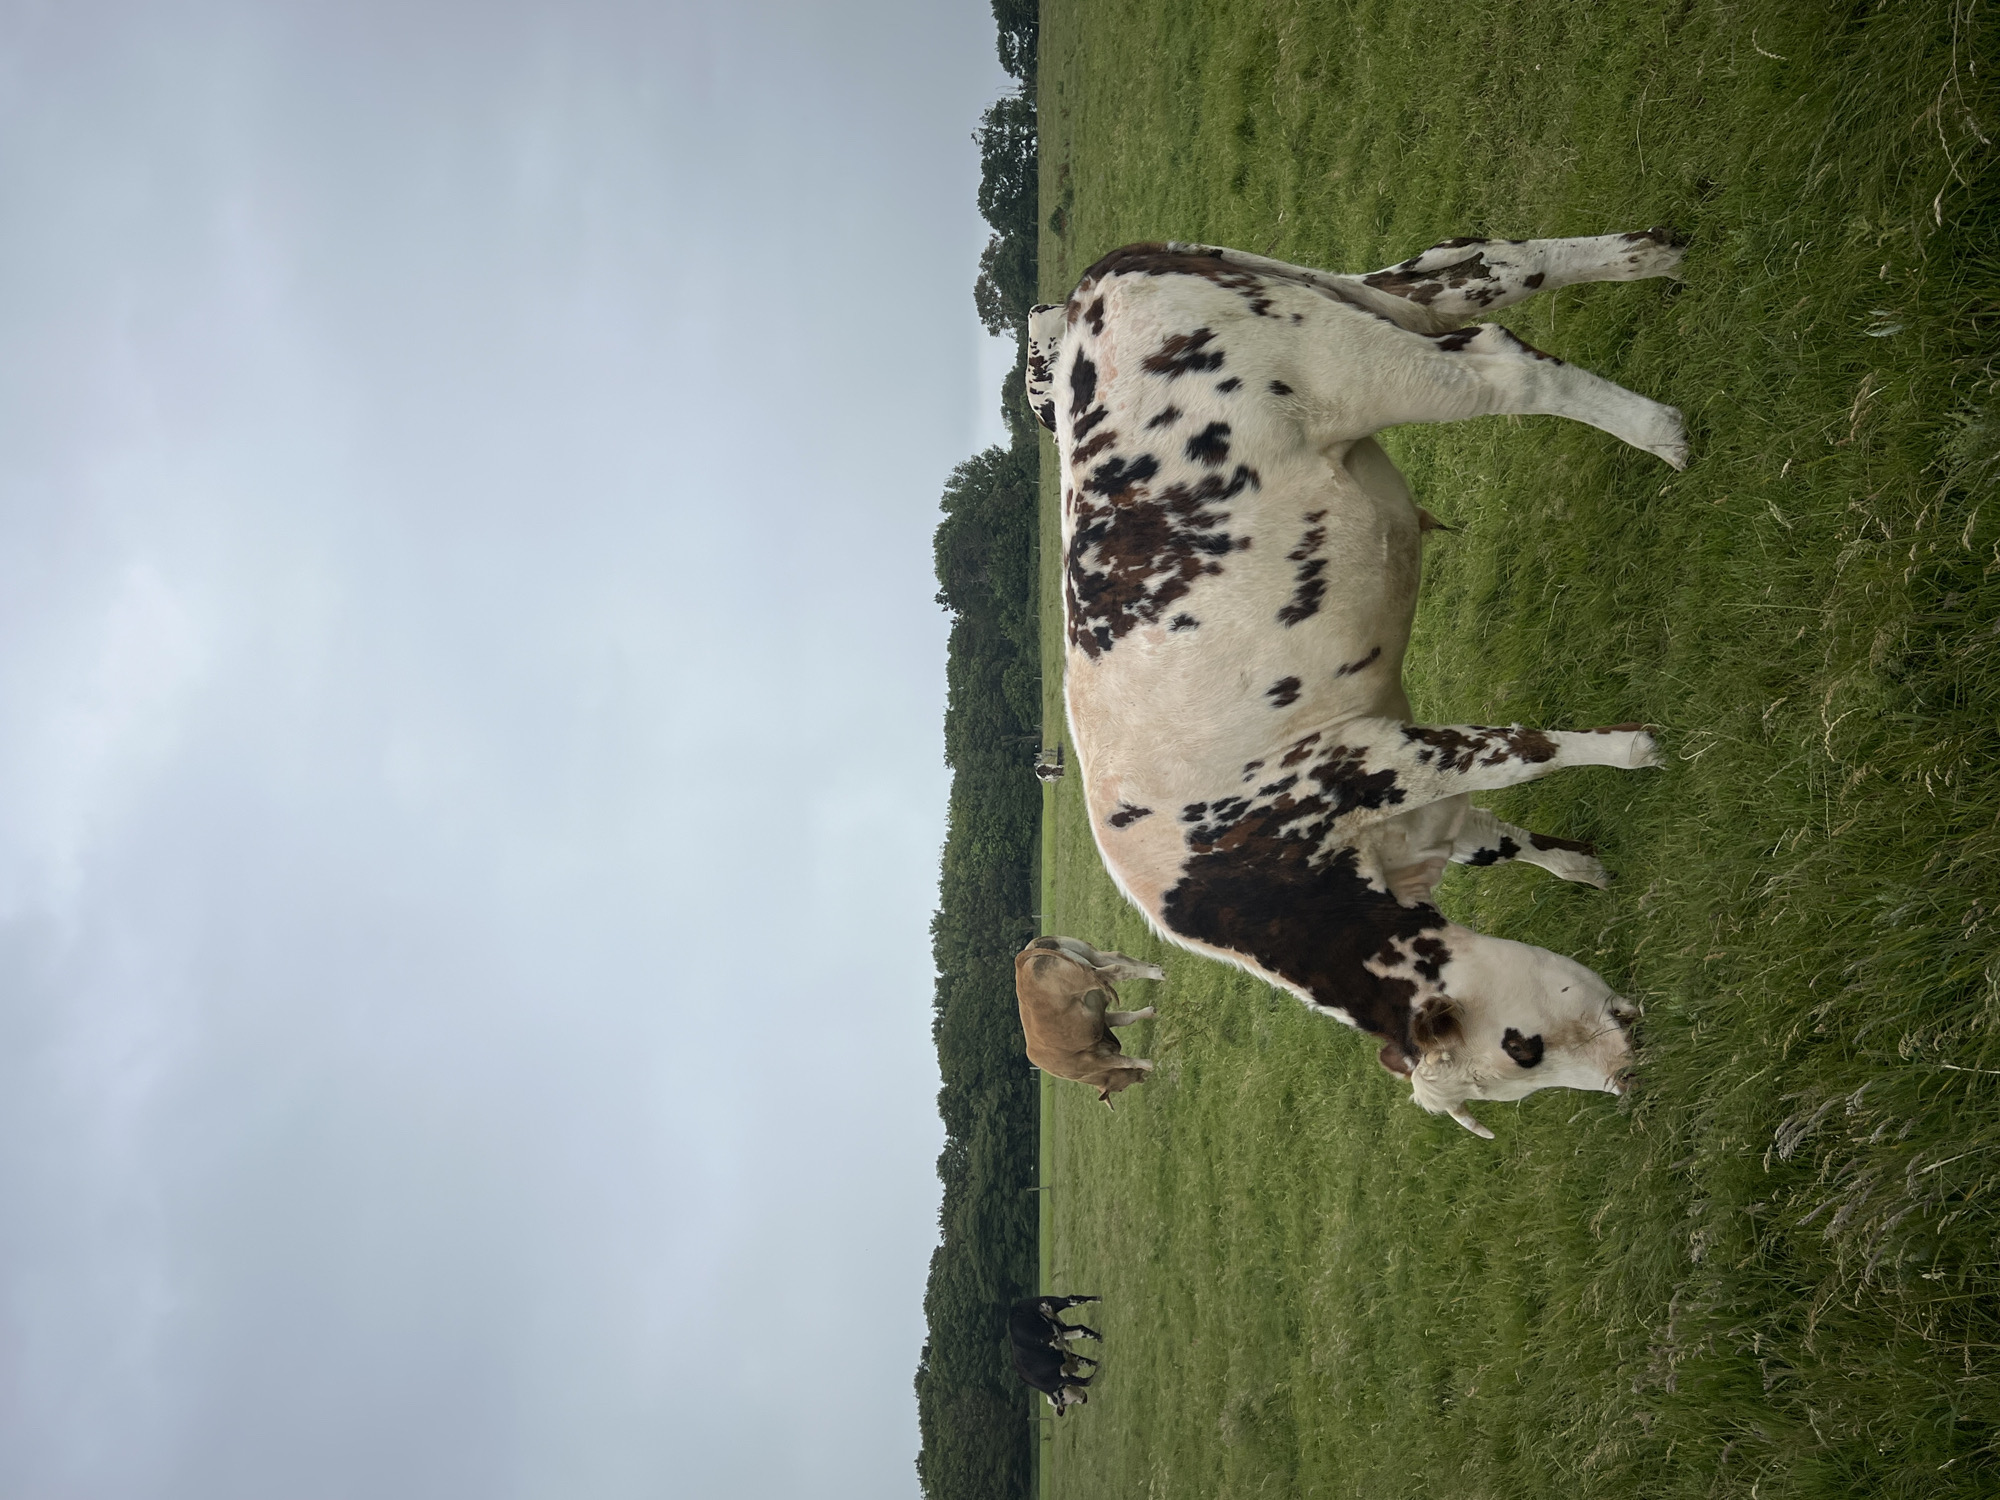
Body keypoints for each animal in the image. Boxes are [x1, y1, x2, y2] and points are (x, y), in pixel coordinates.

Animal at [1015, 936, 1165, 1105]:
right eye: (1120, 1089)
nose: (1141, 1079)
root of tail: (1020, 960)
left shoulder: (1095, 1060)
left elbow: (1125, 1061)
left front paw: (1149, 1065)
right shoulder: (1102, 1019)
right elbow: (1126, 1018)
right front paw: (1150, 1012)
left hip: (1086, 977)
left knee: (1115, 969)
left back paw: (1157, 973)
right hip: (1091, 955)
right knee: (1115, 957)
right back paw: (1154, 966)